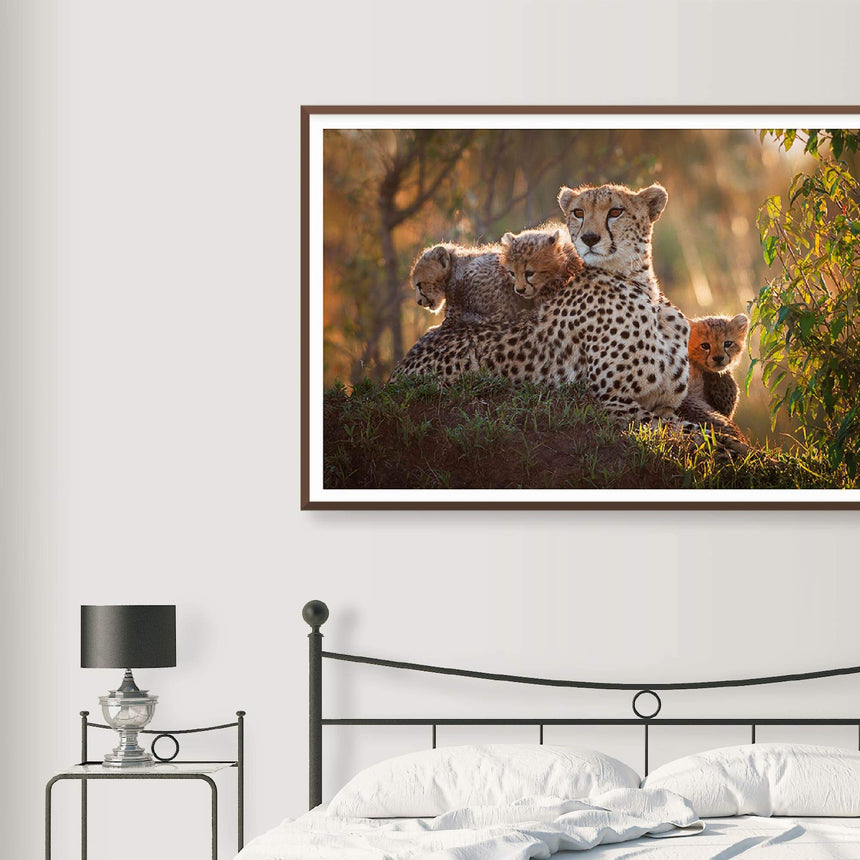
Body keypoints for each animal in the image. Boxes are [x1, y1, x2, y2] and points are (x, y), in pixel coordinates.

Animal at [392, 183, 698, 433]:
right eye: (578, 212)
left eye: (616, 211)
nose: (589, 238)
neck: (640, 284)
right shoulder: (611, 400)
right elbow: (693, 434)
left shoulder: (663, 406)